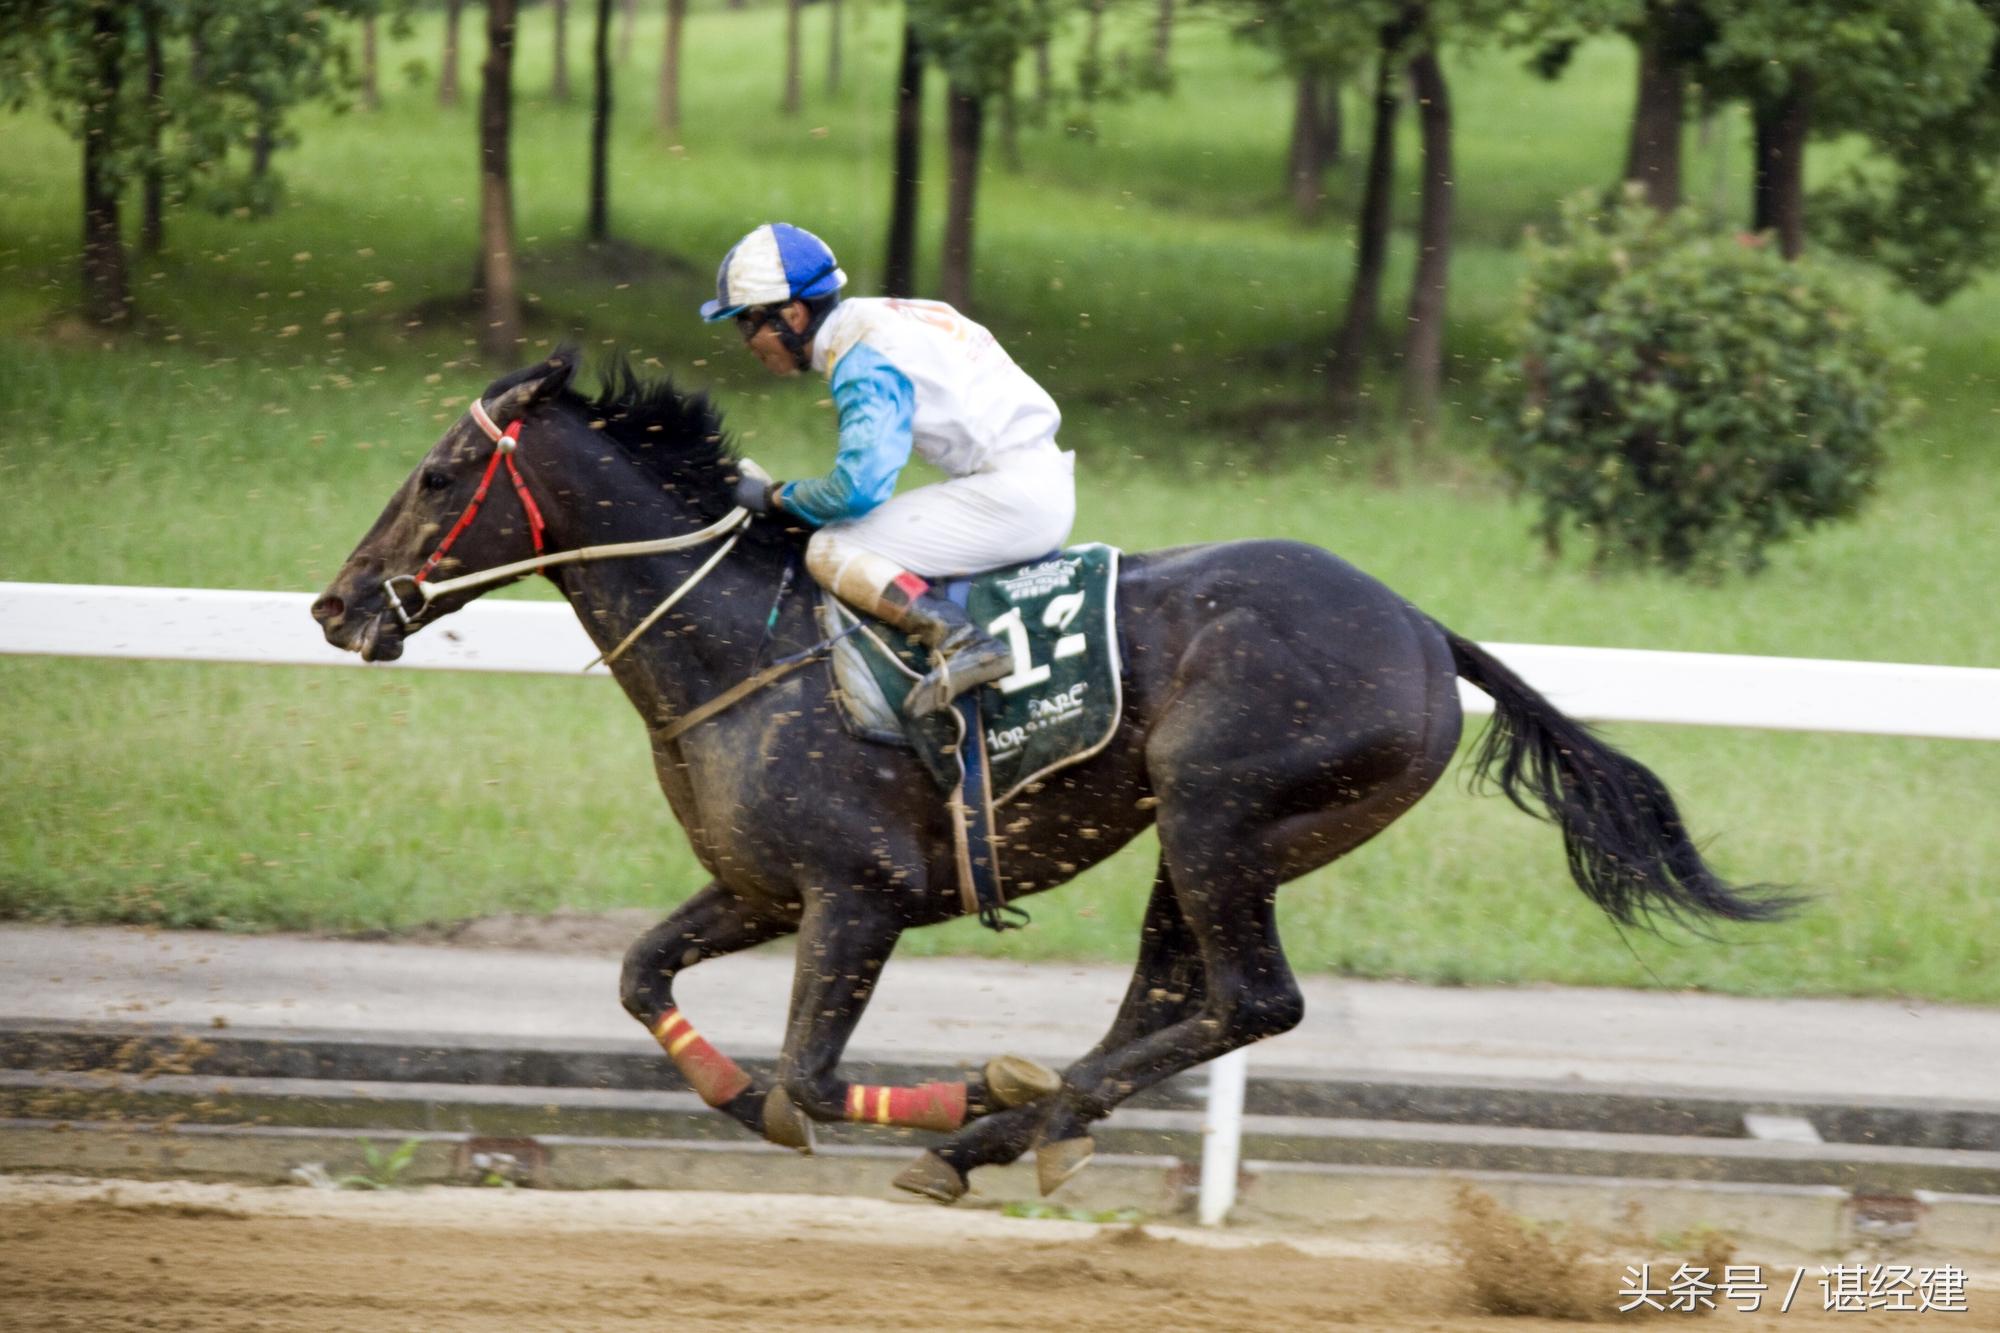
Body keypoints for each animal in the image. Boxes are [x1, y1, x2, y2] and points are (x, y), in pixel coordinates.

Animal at [316, 348, 1800, 1200]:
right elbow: (643, 977)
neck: (744, 645)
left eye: (442, 471)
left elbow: (810, 1077)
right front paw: (745, 1096)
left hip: (1221, 808)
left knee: (1253, 999)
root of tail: (1423, 629)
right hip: (1214, 841)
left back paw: (1012, 1115)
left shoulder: (855, 894)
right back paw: (1025, 1125)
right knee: (1173, 991)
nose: (337, 607)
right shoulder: (757, 887)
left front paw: (959, 1090)